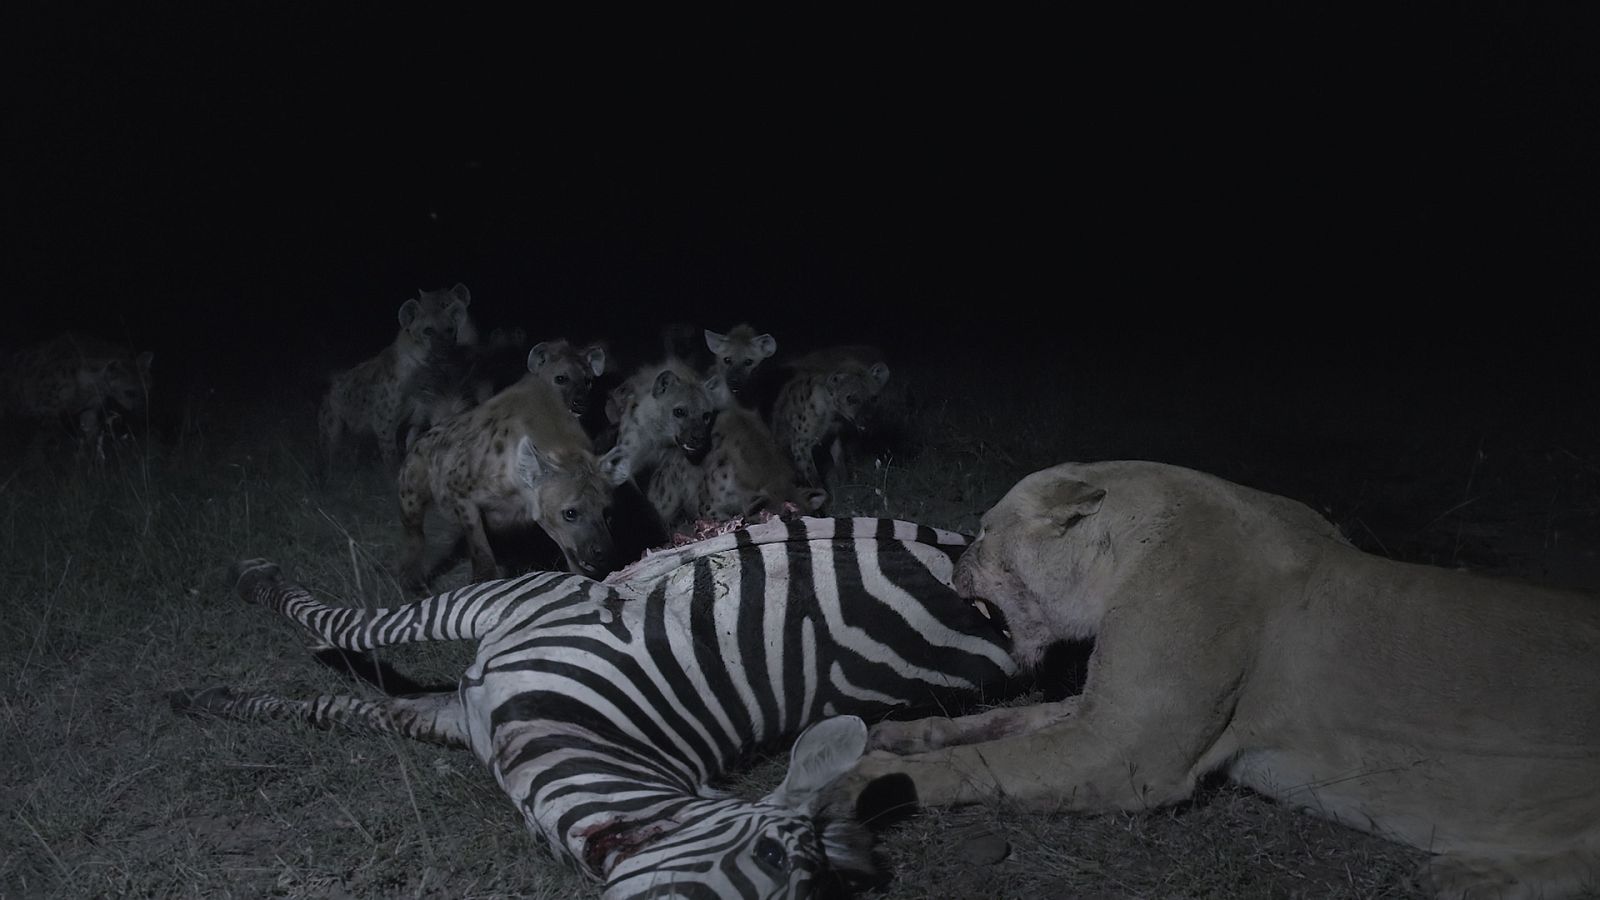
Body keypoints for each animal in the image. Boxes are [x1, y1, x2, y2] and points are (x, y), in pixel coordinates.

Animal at [833, 460, 1600, 899]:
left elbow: (984, 761)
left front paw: (861, 778)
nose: (956, 559)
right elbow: (999, 722)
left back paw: (1464, 876)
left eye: (989, 530)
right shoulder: (1108, 710)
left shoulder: (1127, 753)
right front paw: (901, 735)